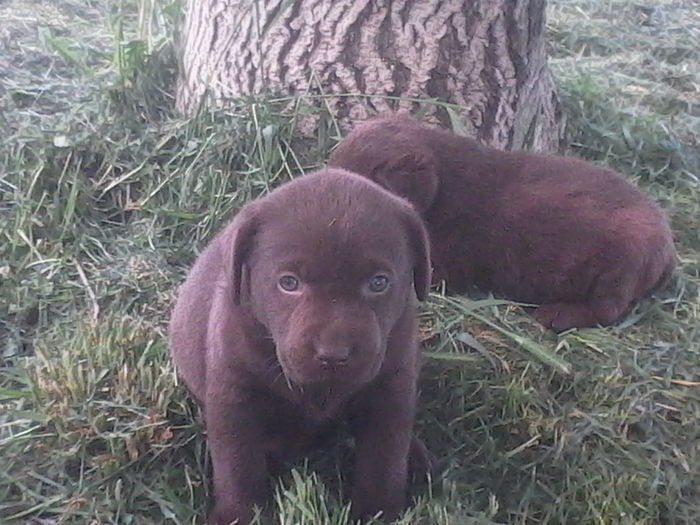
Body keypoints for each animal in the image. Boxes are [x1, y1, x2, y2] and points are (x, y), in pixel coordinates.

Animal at [170, 169, 432, 524]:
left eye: (379, 282)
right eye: (288, 283)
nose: (334, 354)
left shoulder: (392, 384)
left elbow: (385, 454)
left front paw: (378, 512)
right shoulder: (234, 392)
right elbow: (238, 462)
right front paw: (239, 514)